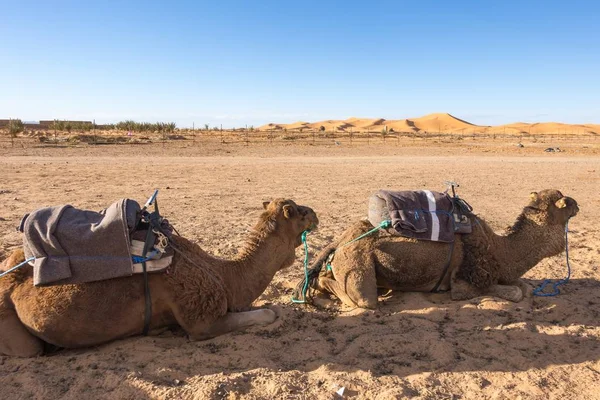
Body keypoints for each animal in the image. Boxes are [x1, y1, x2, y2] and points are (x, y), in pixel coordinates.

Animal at [0, 198, 318, 358]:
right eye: (298, 211)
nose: (316, 214)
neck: (225, 275)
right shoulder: (200, 320)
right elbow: (268, 313)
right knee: (29, 350)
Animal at [302, 190, 580, 310]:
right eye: (566, 202)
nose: (579, 205)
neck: (500, 250)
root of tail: (340, 241)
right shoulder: (464, 283)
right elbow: (515, 293)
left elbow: (525, 287)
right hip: (356, 266)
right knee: (361, 298)